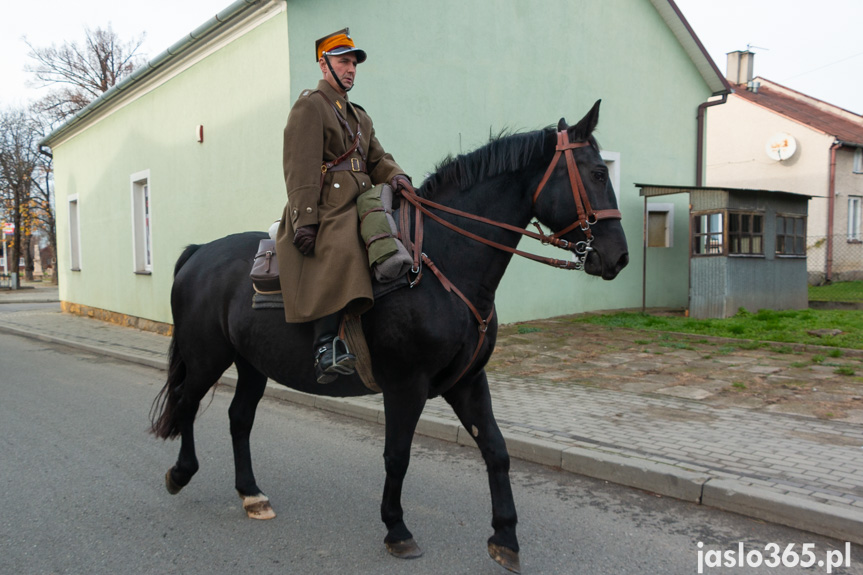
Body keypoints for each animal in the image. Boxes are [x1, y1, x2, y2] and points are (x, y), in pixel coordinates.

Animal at [152, 101, 628, 572]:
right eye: (596, 173)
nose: (618, 257)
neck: (442, 264)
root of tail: (199, 252)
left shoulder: (468, 382)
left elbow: (496, 449)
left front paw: (505, 537)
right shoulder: (406, 385)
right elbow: (397, 456)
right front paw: (397, 529)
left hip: (252, 364)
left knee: (239, 418)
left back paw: (251, 494)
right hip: (206, 358)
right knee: (187, 403)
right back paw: (180, 473)